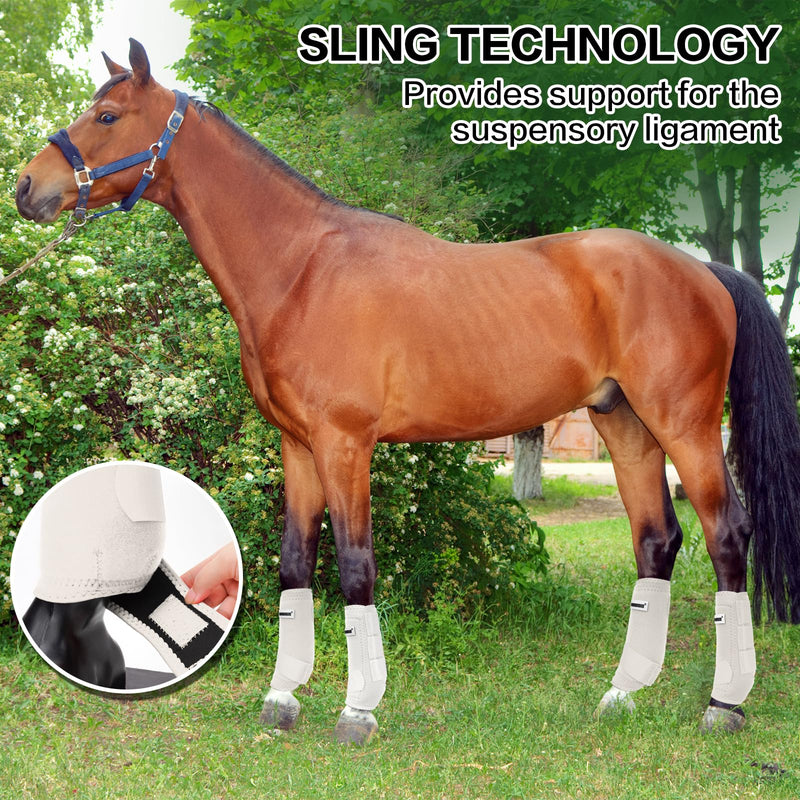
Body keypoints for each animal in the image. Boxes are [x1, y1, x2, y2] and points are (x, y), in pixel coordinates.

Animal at [16, 40, 800, 744]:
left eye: (109, 114)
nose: (27, 187)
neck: (300, 268)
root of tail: (703, 271)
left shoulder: (345, 445)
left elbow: (356, 567)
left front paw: (358, 712)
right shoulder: (297, 446)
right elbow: (295, 564)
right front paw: (282, 700)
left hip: (685, 425)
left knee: (726, 536)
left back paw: (724, 706)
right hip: (626, 426)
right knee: (656, 540)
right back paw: (622, 695)